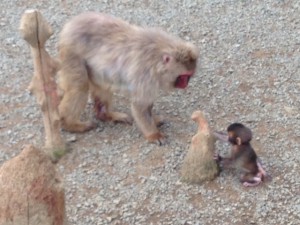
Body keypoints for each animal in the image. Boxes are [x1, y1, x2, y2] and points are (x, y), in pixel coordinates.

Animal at [58, 11, 199, 144]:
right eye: (183, 77)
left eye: (189, 77)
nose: (185, 84)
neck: (156, 58)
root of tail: (69, 25)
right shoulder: (144, 74)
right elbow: (140, 105)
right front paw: (153, 134)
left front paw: (154, 119)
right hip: (71, 52)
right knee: (79, 86)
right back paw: (70, 124)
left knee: (102, 82)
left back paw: (106, 115)